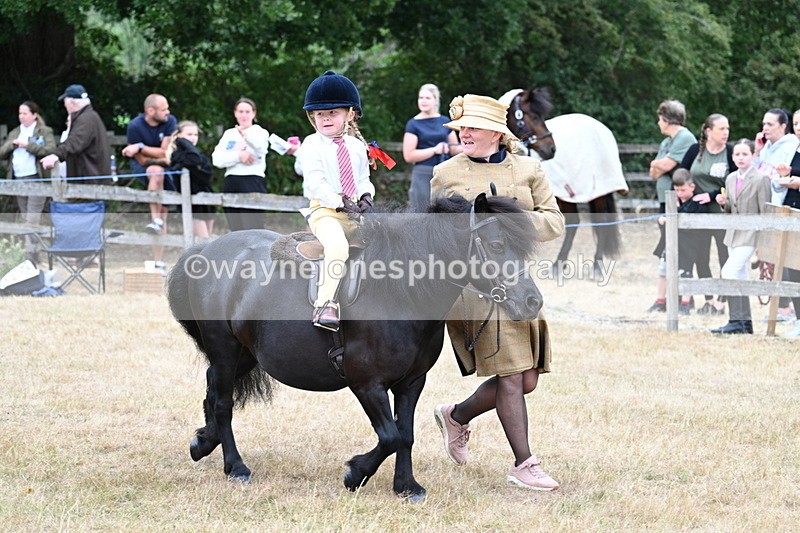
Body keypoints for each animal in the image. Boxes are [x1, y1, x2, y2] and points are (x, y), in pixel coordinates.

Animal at [166, 193, 544, 502]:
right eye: (496, 245)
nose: (532, 301)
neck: (399, 294)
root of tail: (206, 250)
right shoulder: (367, 384)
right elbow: (390, 436)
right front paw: (355, 473)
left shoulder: (411, 383)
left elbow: (405, 435)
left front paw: (406, 487)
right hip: (225, 351)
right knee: (223, 403)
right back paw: (236, 466)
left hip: (244, 356)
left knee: (212, 392)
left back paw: (203, 443)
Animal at [501, 88, 628, 277]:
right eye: (535, 116)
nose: (551, 148)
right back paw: (559, 264)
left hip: (597, 191)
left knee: (601, 219)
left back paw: (594, 265)